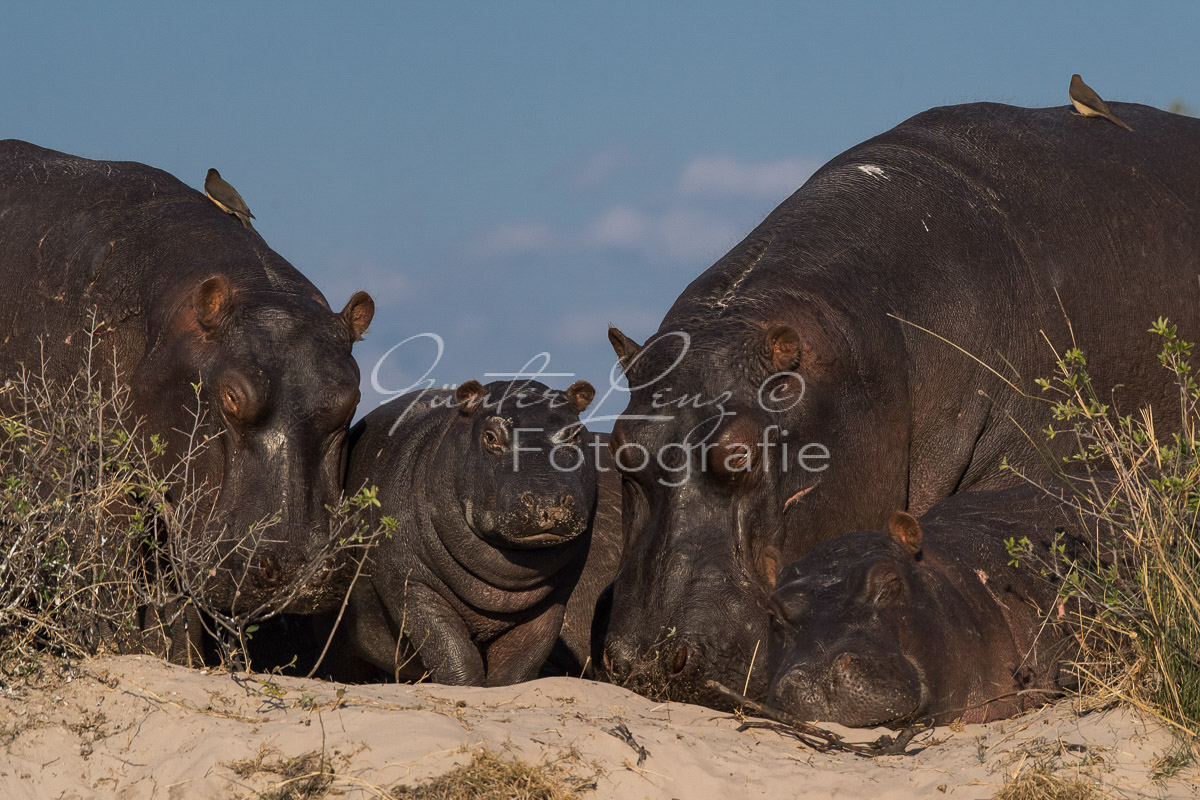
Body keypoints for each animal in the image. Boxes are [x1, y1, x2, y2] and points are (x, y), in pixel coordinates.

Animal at [338, 379, 600, 686]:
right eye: (490, 436)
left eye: (576, 434)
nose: (548, 500)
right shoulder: (409, 582)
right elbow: (451, 650)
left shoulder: (553, 601)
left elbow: (519, 666)